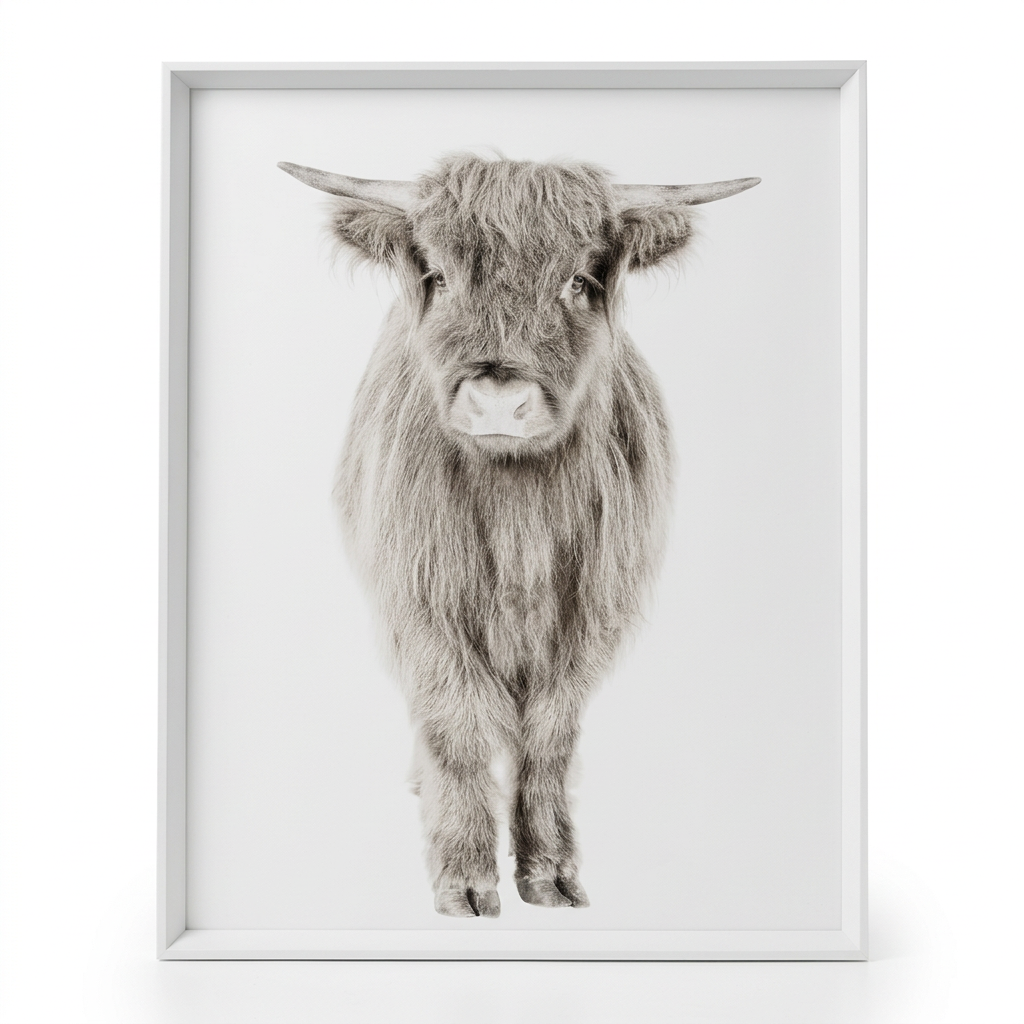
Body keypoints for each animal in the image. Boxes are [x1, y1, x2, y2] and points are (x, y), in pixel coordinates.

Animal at [279, 154, 758, 918]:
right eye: (439, 275)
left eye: (579, 281)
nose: (498, 401)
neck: (517, 517)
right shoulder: (423, 606)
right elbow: (457, 727)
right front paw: (464, 879)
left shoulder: (590, 617)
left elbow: (550, 738)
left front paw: (551, 873)